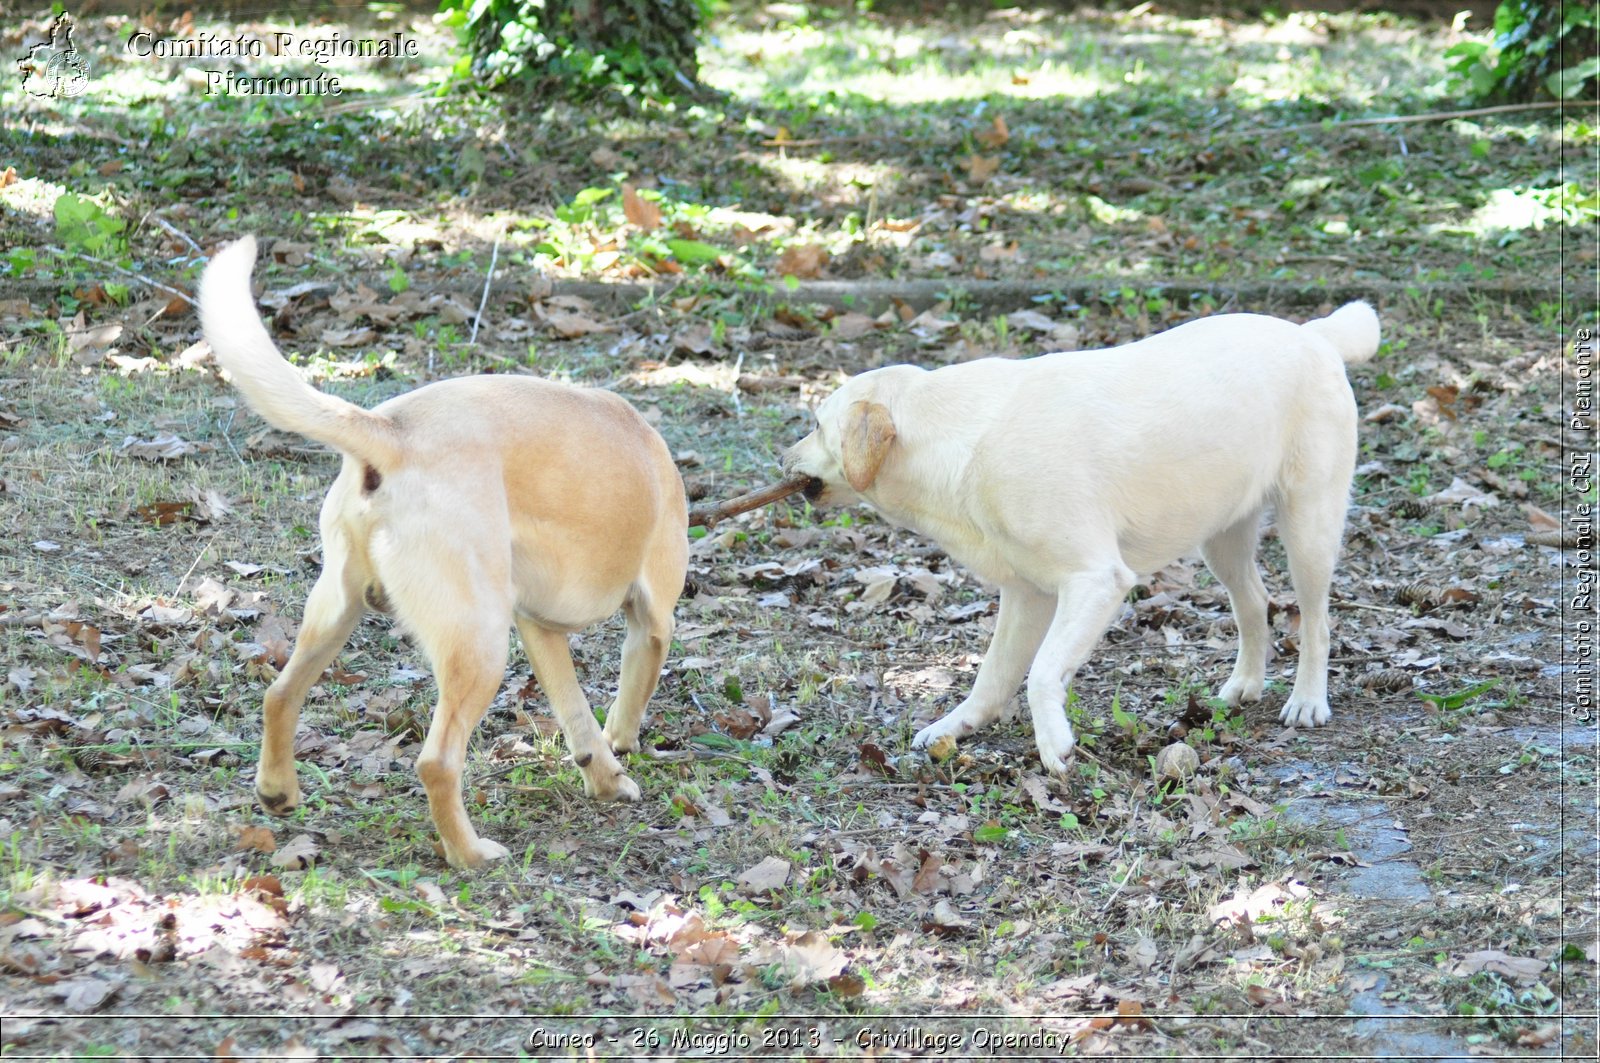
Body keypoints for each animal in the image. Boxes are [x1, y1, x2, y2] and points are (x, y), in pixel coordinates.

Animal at [196, 236, 684, 870]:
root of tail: (390, 432)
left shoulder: (538, 629)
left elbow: (577, 714)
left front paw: (602, 775)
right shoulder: (652, 621)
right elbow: (627, 696)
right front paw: (622, 747)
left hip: (336, 611)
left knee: (279, 695)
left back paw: (278, 791)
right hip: (479, 643)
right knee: (436, 761)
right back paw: (470, 853)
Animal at [784, 302, 1376, 768]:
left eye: (815, 425)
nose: (781, 460)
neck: (958, 440)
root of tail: (1314, 334)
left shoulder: (1096, 580)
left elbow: (1042, 671)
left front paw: (1055, 744)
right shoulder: (1026, 595)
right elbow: (993, 675)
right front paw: (957, 727)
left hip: (1308, 526)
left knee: (1317, 620)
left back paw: (1307, 700)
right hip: (1221, 538)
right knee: (1255, 603)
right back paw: (1242, 688)